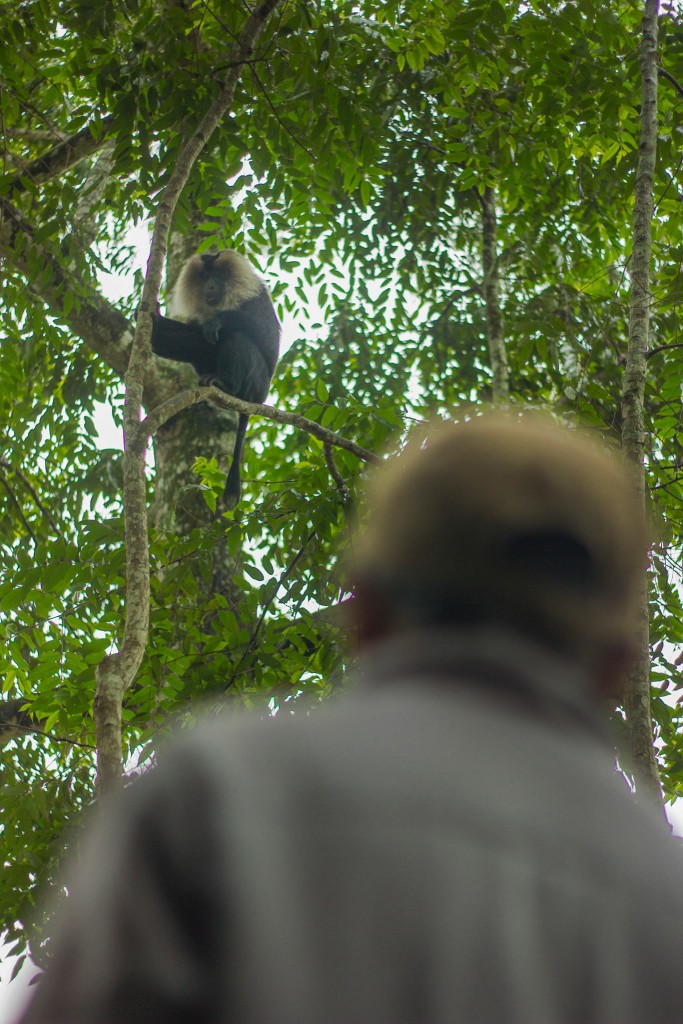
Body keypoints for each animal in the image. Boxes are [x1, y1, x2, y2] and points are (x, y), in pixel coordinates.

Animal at [151, 251, 280, 507]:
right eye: (204, 276)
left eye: (218, 275)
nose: (210, 286)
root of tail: (257, 401)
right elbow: (192, 341)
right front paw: (155, 324)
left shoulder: (257, 297)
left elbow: (266, 336)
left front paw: (218, 320)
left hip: (257, 382)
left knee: (240, 337)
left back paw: (225, 384)